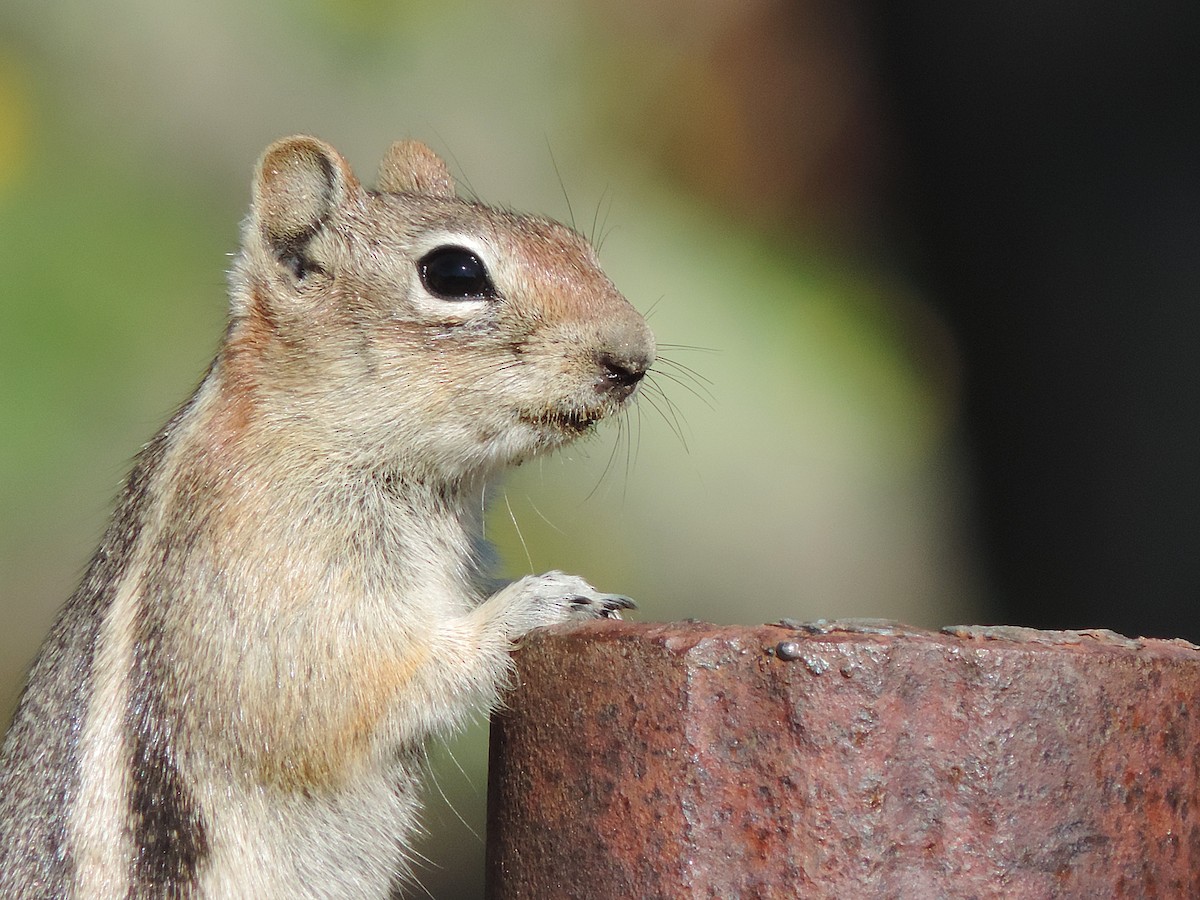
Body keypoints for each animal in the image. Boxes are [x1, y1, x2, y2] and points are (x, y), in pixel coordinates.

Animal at [0, 135, 654, 898]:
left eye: (573, 243)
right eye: (453, 273)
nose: (634, 358)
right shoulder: (276, 588)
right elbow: (348, 692)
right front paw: (535, 603)